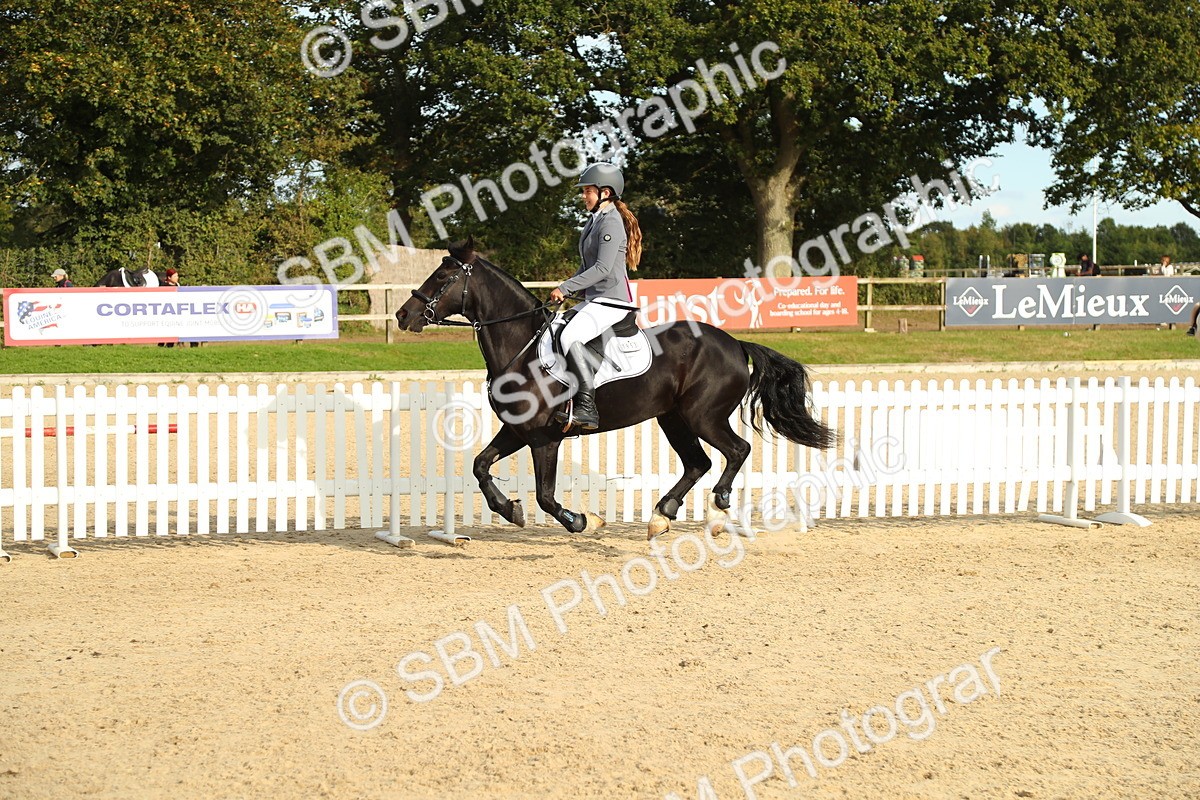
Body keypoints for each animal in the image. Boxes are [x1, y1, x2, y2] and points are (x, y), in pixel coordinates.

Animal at [394, 241, 837, 540]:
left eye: (443, 277)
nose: (402, 314)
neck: (522, 347)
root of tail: (733, 343)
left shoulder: (544, 438)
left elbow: (545, 496)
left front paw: (581, 521)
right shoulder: (518, 431)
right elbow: (480, 466)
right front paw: (509, 511)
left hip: (703, 416)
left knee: (736, 450)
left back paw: (717, 509)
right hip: (673, 418)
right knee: (698, 463)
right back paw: (662, 516)